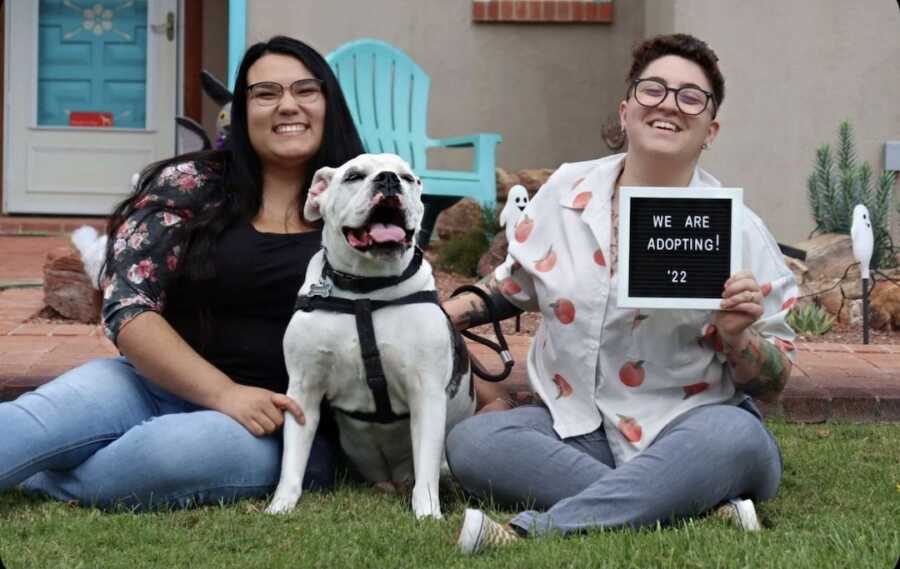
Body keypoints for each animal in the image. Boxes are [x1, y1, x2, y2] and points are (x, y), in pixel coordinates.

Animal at [266, 153, 478, 516]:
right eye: (353, 176)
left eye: (408, 178)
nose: (389, 179)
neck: (365, 291)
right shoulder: (303, 389)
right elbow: (292, 458)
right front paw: (281, 505)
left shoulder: (426, 392)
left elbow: (426, 466)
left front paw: (428, 514)